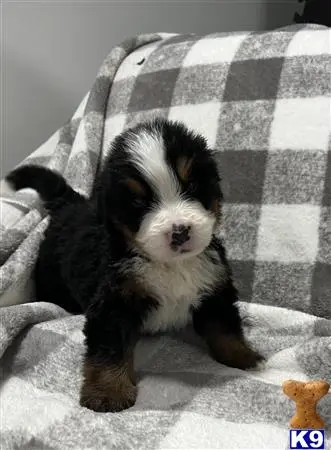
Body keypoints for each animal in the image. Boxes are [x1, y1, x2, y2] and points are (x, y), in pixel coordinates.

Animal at [6, 118, 264, 412]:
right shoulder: (113, 302)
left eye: (192, 185)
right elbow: (110, 349)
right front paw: (108, 392)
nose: (180, 232)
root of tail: (70, 203)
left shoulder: (214, 284)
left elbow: (225, 326)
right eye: (139, 201)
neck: (170, 265)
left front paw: (243, 356)